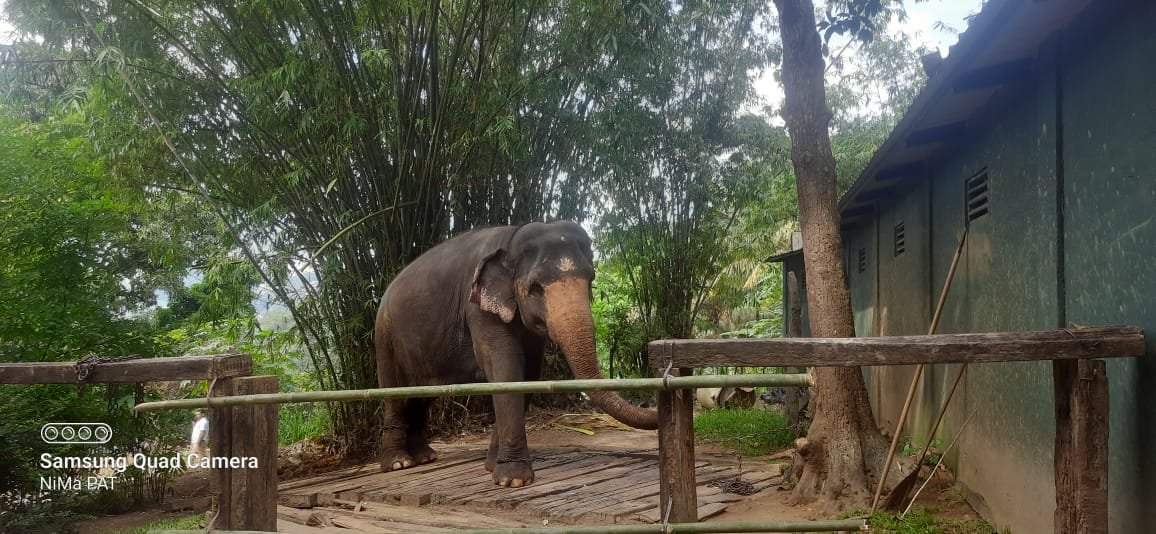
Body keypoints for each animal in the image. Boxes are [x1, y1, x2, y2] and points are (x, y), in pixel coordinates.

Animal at [376, 218, 661, 485]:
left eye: (591, 280)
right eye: (535, 288)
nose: (651, 404)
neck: (512, 237)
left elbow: (529, 372)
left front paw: (493, 466)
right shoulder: (477, 308)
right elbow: (506, 366)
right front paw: (513, 480)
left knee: (421, 396)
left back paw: (425, 456)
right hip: (385, 337)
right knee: (395, 393)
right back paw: (399, 463)